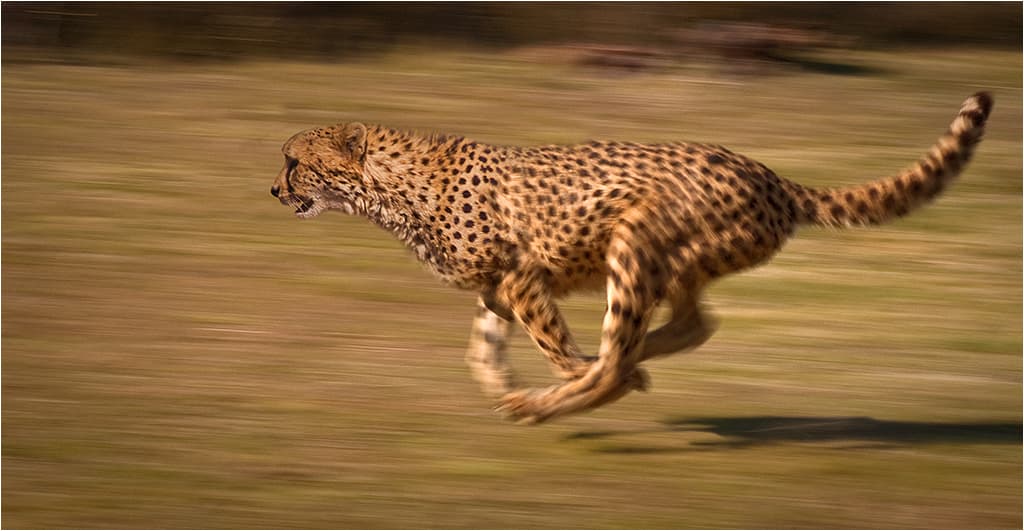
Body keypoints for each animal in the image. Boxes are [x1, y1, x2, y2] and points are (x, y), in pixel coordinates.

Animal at [271, 92, 993, 424]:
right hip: (680, 263)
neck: (391, 186)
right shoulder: (498, 287)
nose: (273, 190)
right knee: (694, 323)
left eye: (293, 161)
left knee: (622, 352)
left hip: (635, 238)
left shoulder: (521, 276)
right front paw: (502, 384)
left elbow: (554, 345)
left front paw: (551, 384)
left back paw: (569, 394)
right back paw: (628, 363)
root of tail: (770, 175)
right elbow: (481, 350)